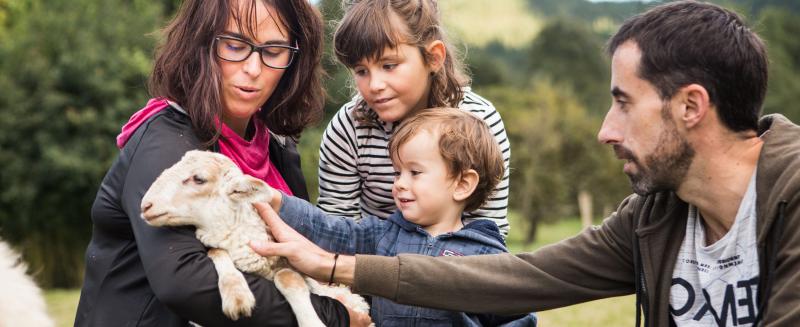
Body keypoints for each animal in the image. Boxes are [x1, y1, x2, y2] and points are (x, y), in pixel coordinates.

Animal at [140, 150, 368, 326]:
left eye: (198, 179)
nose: (145, 206)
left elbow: (287, 277)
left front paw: (311, 322)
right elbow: (216, 251)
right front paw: (237, 297)